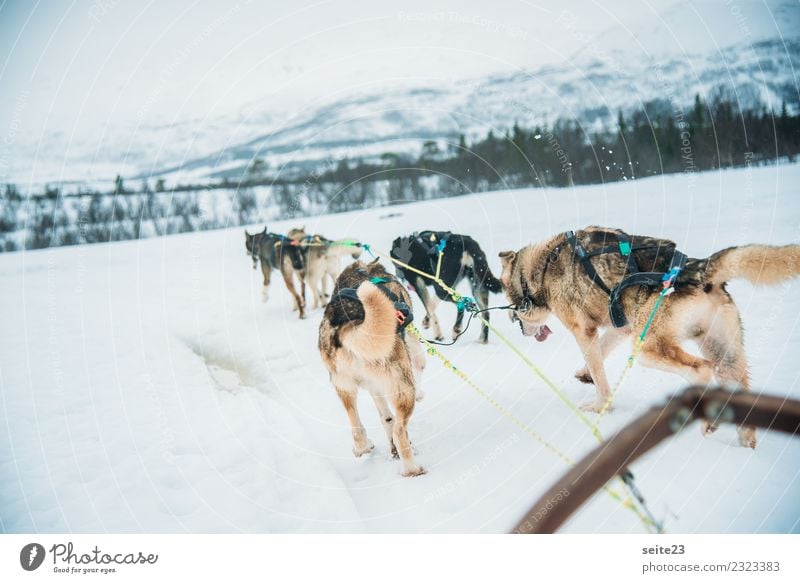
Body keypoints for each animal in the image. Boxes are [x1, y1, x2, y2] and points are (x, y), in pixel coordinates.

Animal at [318, 262, 432, 480]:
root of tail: (350, 324)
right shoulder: (412, 342)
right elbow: (421, 362)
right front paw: (422, 393)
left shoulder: (374, 386)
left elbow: (386, 418)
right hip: (403, 388)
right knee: (399, 431)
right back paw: (412, 469)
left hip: (343, 387)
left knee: (358, 427)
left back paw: (364, 446)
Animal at [500, 226, 800, 450]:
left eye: (510, 302)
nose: (514, 321)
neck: (540, 267)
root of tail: (698, 268)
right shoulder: (622, 326)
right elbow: (600, 354)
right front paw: (584, 374)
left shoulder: (583, 331)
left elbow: (600, 376)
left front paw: (599, 405)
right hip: (724, 356)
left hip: (646, 349)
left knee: (701, 370)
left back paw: (705, 419)